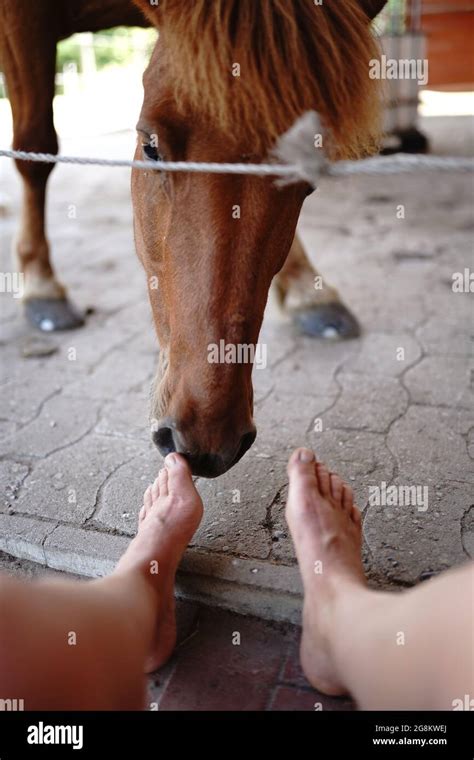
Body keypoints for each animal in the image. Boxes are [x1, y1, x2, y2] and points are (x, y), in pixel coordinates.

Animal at [0, 0, 387, 477]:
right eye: (150, 146)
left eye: (310, 177)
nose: (206, 441)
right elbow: (35, 149)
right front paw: (41, 285)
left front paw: (307, 290)